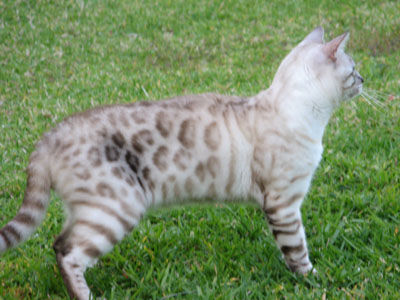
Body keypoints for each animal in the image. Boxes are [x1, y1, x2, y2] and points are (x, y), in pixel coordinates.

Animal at [0, 27, 362, 298]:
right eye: (354, 69)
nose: (363, 81)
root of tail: (49, 136)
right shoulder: (284, 203)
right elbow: (297, 250)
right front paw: (314, 279)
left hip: (91, 209)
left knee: (59, 242)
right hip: (117, 207)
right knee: (67, 252)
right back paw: (86, 294)